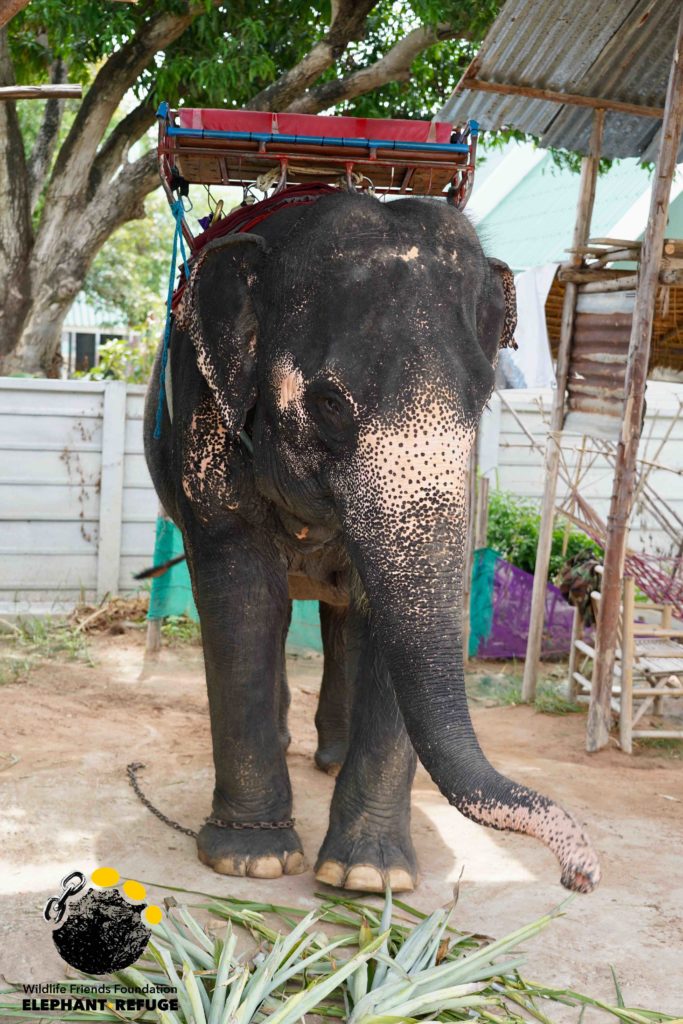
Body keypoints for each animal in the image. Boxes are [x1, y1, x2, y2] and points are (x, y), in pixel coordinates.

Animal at [144, 190, 600, 894]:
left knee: (345, 620)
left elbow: (383, 624)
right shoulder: (205, 433)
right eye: (330, 403)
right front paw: (251, 861)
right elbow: (244, 603)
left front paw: (367, 877)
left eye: (483, 400)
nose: (580, 874)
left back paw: (330, 759)